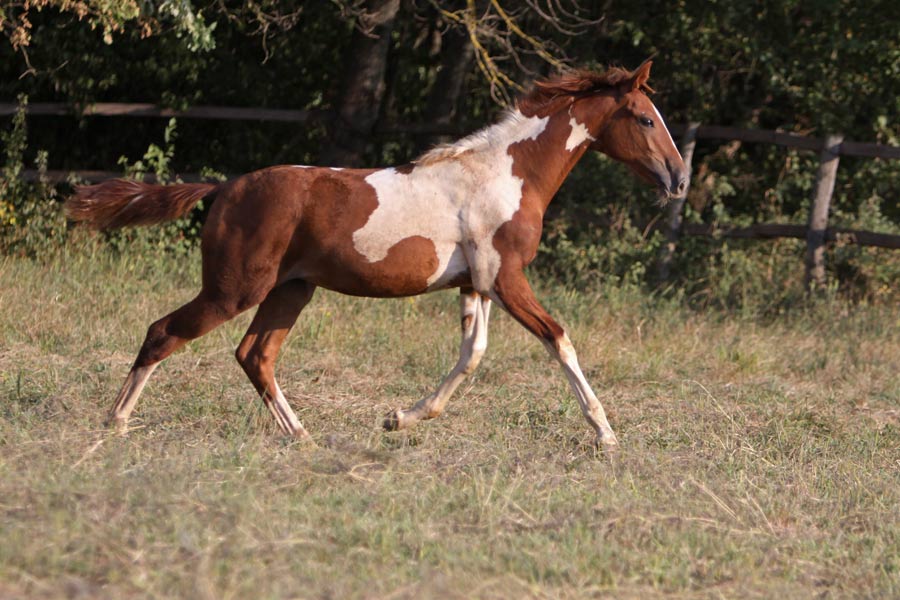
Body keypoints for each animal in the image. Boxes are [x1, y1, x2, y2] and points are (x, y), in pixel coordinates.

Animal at [68, 63, 688, 452]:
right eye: (645, 118)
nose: (679, 178)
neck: (508, 174)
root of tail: (223, 188)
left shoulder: (479, 282)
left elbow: (472, 354)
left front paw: (399, 419)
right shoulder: (507, 278)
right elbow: (558, 339)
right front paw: (605, 434)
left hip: (290, 290)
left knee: (254, 355)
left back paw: (301, 436)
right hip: (234, 288)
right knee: (164, 332)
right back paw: (114, 425)